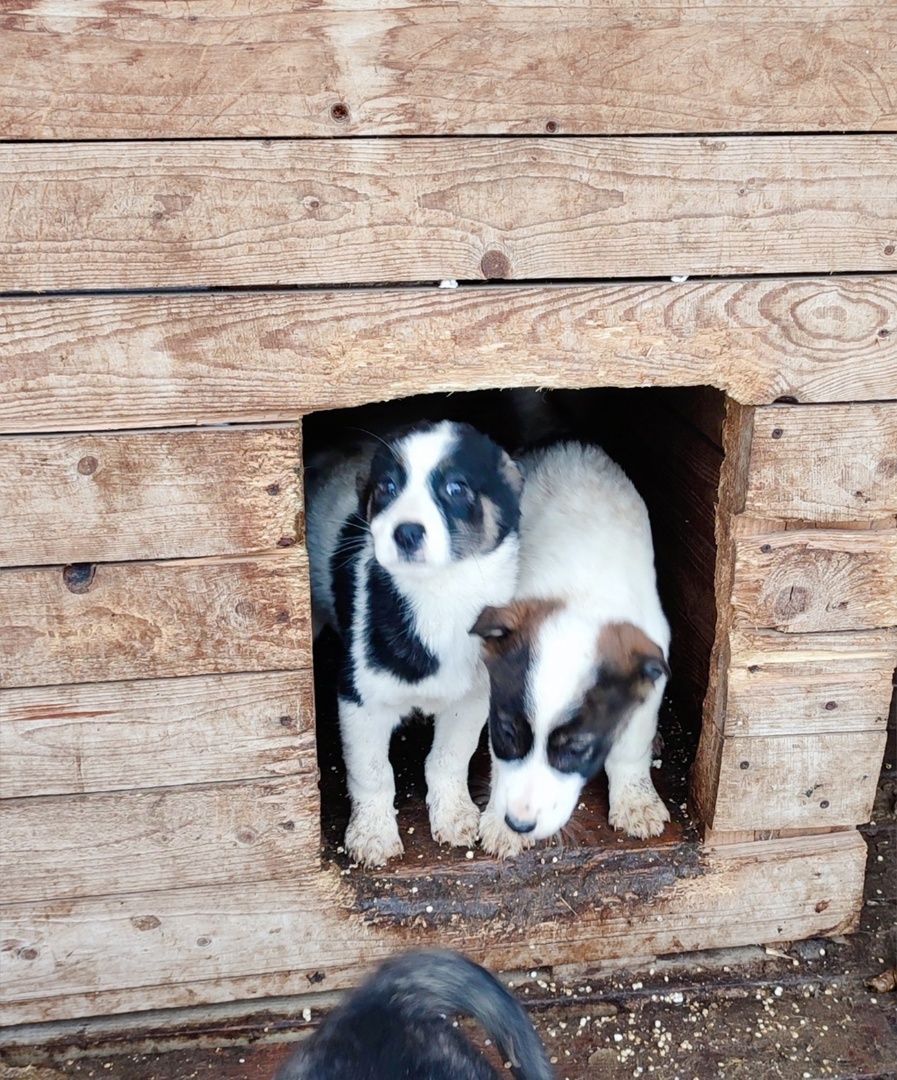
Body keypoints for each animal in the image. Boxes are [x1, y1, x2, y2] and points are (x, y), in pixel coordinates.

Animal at [306, 421, 522, 868]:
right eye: (387, 486)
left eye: (456, 488)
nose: (405, 532)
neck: (438, 596)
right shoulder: (358, 700)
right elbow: (372, 773)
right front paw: (372, 835)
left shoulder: (472, 697)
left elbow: (449, 758)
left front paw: (454, 814)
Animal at [472, 442, 669, 855]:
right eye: (507, 732)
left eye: (577, 750)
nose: (519, 823)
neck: (583, 598)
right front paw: (499, 823)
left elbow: (631, 747)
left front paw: (636, 801)